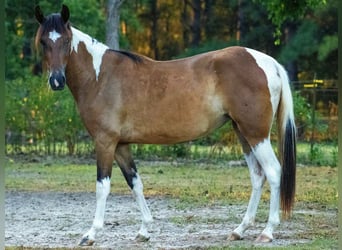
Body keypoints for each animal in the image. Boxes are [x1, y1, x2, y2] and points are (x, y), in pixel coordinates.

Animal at [34, 4, 296, 246]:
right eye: (44, 42)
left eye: (66, 41)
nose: (56, 80)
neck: (99, 77)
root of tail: (269, 62)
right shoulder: (121, 145)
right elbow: (135, 183)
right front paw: (144, 230)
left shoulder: (105, 142)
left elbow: (102, 187)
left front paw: (90, 234)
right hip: (243, 133)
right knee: (257, 176)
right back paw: (239, 230)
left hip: (256, 134)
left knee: (274, 172)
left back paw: (267, 232)